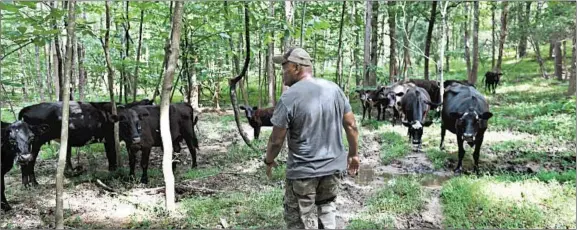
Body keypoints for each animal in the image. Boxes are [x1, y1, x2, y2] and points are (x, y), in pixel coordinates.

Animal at [18, 101, 146, 187]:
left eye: (137, 122)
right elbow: (112, 157)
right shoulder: (110, 140)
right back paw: (33, 183)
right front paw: (114, 172)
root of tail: (28, 108)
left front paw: (112, 171)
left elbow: (110, 157)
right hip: (36, 142)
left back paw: (27, 184)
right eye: (124, 123)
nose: (136, 139)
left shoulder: (106, 141)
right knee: (30, 161)